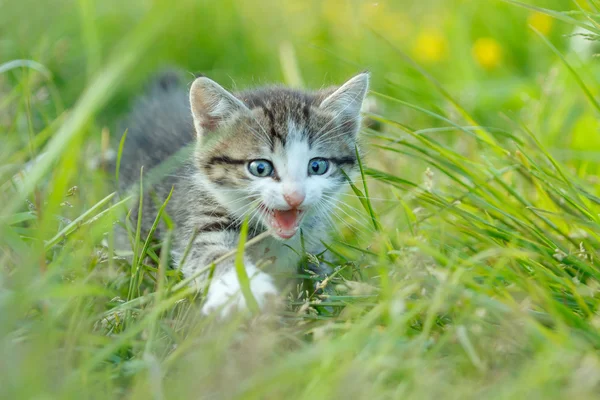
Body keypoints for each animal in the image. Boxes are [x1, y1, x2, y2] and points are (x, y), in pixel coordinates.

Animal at [116, 71, 368, 316]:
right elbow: (210, 253)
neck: (267, 237)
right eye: (260, 168)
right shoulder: (199, 215)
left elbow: (317, 273)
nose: (294, 196)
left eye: (317, 166)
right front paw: (242, 289)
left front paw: (323, 302)